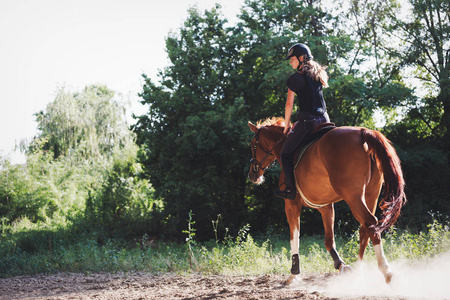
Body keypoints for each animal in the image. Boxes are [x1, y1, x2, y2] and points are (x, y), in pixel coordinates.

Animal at [248, 117, 406, 286]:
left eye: (252, 145)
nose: (252, 174)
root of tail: (363, 132)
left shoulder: (291, 206)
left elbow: (294, 238)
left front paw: (294, 273)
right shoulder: (326, 207)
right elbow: (329, 240)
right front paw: (341, 265)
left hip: (353, 196)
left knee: (370, 222)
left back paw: (386, 271)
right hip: (370, 195)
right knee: (365, 228)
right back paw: (358, 271)